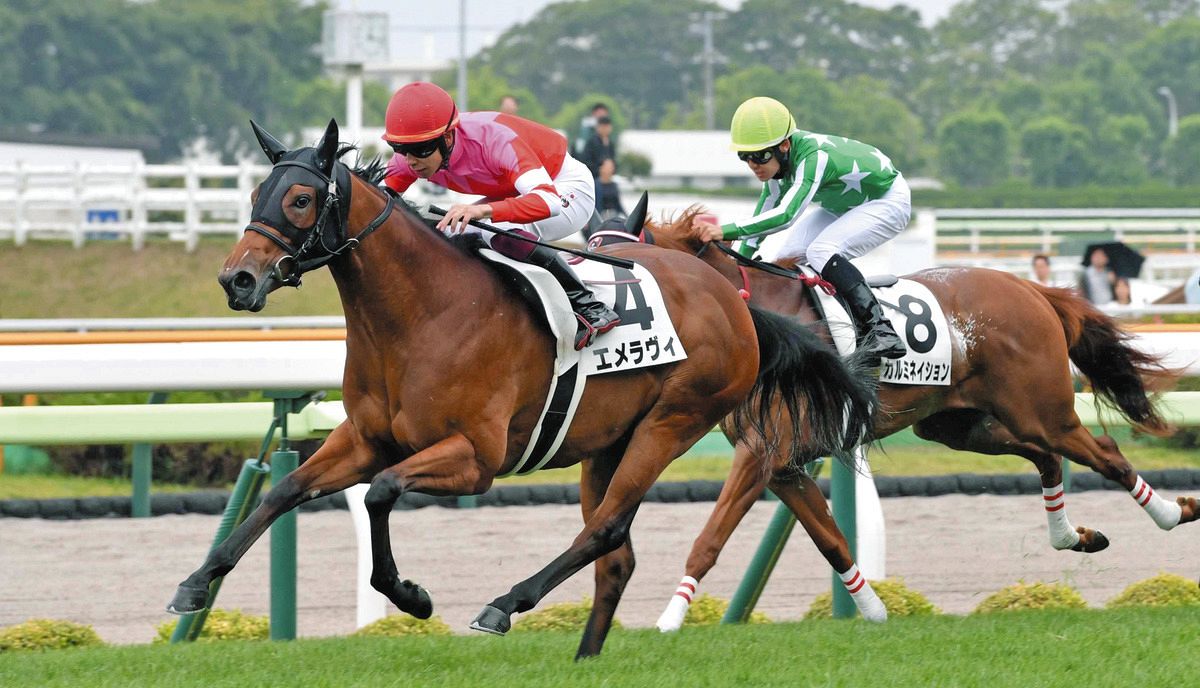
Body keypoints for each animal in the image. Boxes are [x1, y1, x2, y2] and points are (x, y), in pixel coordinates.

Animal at [164, 120, 873, 657]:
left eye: (301, 200)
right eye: (255, 193)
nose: (238, 280)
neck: (421, 314)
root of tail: (733, 299)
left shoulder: (475, 458)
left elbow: (381, 494)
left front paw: (413, 596)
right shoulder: (365, 438)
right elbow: (284, 489)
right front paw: (196, 584)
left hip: (671, 423)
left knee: (605, 532)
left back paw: (504, 605)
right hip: (607, 443)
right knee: (616, 556)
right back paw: (585, 656)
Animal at [628, 206, 1200, 619]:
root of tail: (1028, 287)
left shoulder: (763, 452)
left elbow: (710, 539)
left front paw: (668, 622)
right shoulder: (782, 463)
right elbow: (832, 539)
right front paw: (875, 613)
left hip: (1043, 409)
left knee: (1103, 452)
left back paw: (1173, 512)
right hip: (957, 424)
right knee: (1046, 458)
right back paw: (1073, 536)